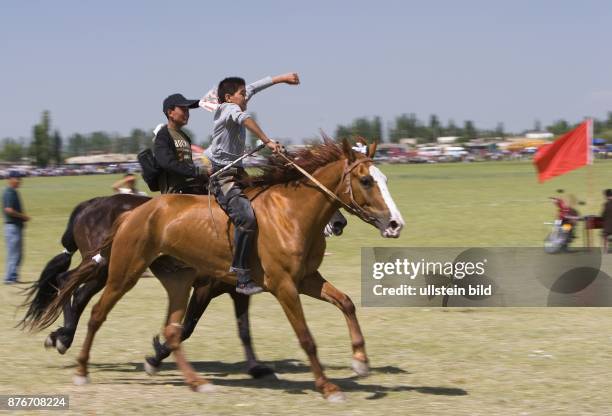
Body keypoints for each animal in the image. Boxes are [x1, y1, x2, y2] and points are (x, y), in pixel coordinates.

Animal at [34, 141, 406, 404]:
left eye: (386, 179)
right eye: (366, 180)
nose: (395, 224)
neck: (291, 214)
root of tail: (130, 213)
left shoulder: (301, 281)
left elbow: (345, 303)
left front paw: (360, 361)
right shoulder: (281, 286)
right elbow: (305, 337)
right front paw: (328, 387)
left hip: (176, 280)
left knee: (167, 327)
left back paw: (197, 382)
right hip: (122, 271)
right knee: (91, 307)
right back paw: (76, 362)